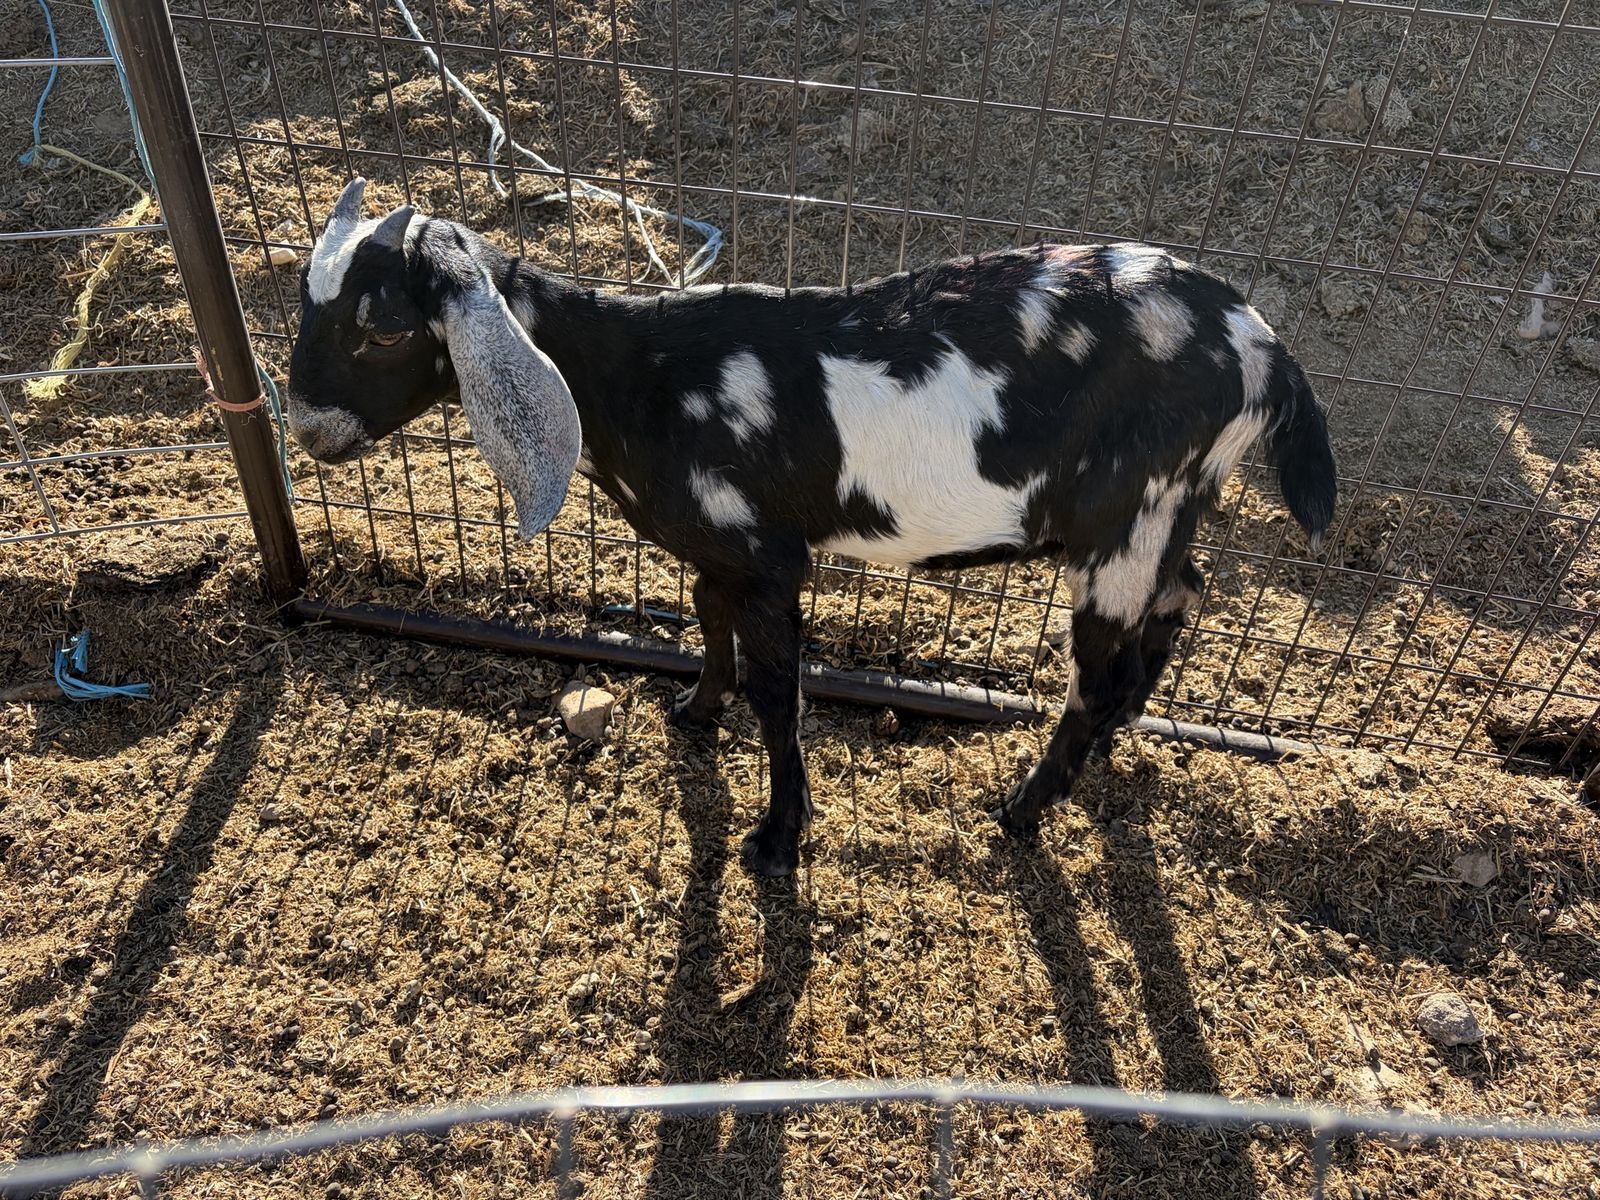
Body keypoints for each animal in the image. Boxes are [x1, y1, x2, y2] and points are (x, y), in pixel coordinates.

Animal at [286, 178, 1337, 877]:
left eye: (383, 327)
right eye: (305, 302)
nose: (306, 428)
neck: (634, 374)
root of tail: (1267, 351)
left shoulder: (768, 558)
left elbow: (778, 695)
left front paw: (776, 838)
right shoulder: (720, 547)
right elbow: (704, 616)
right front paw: (692, 711)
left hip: (1131, 514)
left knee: (1100, 670)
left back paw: (1023, 809)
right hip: (1173, 511)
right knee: (1177, 605)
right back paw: (1107, 752)